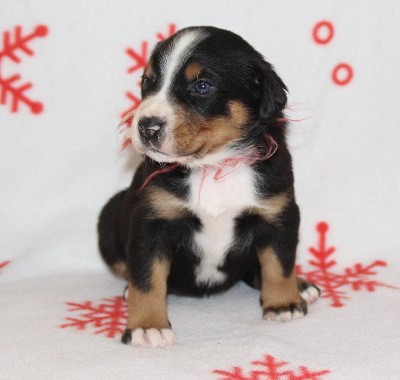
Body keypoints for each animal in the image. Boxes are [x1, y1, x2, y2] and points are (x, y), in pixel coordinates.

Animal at [98, 26, 320, 348]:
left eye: (202, 86)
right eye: (147, 82)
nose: (146, 126)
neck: (214, 165)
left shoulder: (278, 212)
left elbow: (279, 263)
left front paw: (283, 303)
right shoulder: (151, 222)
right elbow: (147, 278)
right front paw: (148, 326)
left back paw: (300, 286)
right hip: (108, 217)